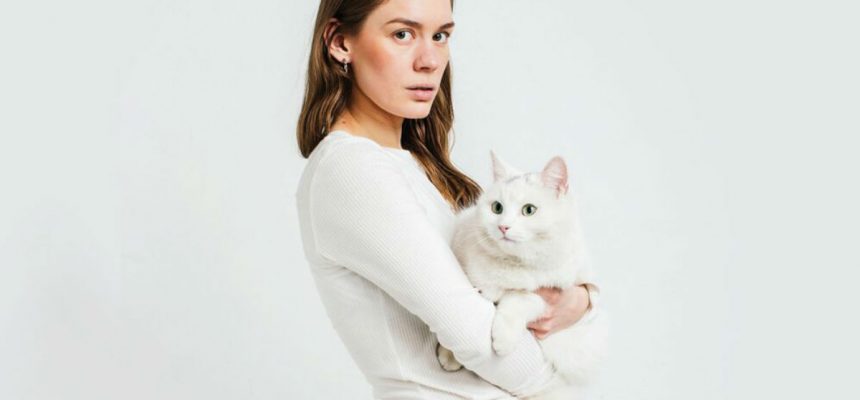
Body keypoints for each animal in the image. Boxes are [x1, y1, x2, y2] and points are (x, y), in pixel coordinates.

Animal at [435, 150, 609, 400]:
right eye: (497, 208)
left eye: (529, 210)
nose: (503, 227)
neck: (513, 263)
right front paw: (449, 355)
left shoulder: (550, 293)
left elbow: (520, 299)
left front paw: (503, 340)